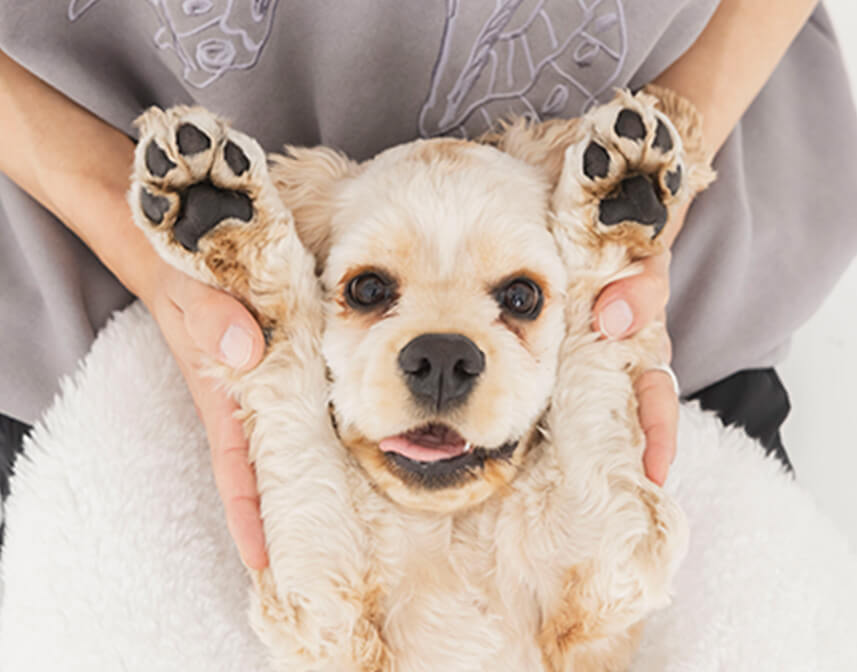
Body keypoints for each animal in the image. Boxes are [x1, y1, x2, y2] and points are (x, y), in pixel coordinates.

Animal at [130, 89, 712, 672]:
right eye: (367, 289)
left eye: (522, 296)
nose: (442, 358)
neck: (450, 530)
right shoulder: (323, 610)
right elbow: (292, 387)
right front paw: (220, 213)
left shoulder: (608, 564)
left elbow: (594, 348)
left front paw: (620, 200)